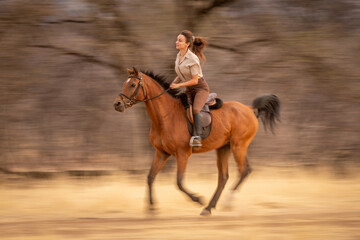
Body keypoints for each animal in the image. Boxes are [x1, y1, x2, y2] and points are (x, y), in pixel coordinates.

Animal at [114, 67, 280, 216]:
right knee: (223, 177)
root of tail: (249, 108)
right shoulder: (161, 153)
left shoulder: (182, 154)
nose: (117, 104)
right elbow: (150, 177)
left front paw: (198, 199)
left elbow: (179, 182)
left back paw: (226, 202)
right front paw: (151, 208)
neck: (165, 116)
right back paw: (209, 207)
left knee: (244, 170)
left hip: (238, 146)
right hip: (224, 148)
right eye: (124, 83)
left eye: (132, 85)